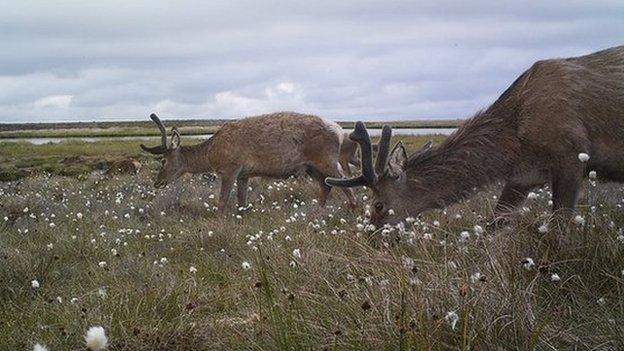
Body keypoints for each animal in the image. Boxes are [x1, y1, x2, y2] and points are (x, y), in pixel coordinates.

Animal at [141, 112, 356, 214]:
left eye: (163, 160)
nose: (157, 182)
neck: (212, 155)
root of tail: (339, 130)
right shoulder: (244, 174)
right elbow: (241, 204)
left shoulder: (230, 168)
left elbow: (222, 202)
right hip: (312, 167)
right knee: (326, 186)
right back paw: (318, 212)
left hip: (327, 160)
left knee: (345, 182)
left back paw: (353, 209)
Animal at [326, 44, 624, 239]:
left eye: (378, 204)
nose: (372, 238)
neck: (514, 142)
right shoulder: (524, 174)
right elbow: (493, 224)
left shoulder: (570, 153)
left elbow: (557, 230)